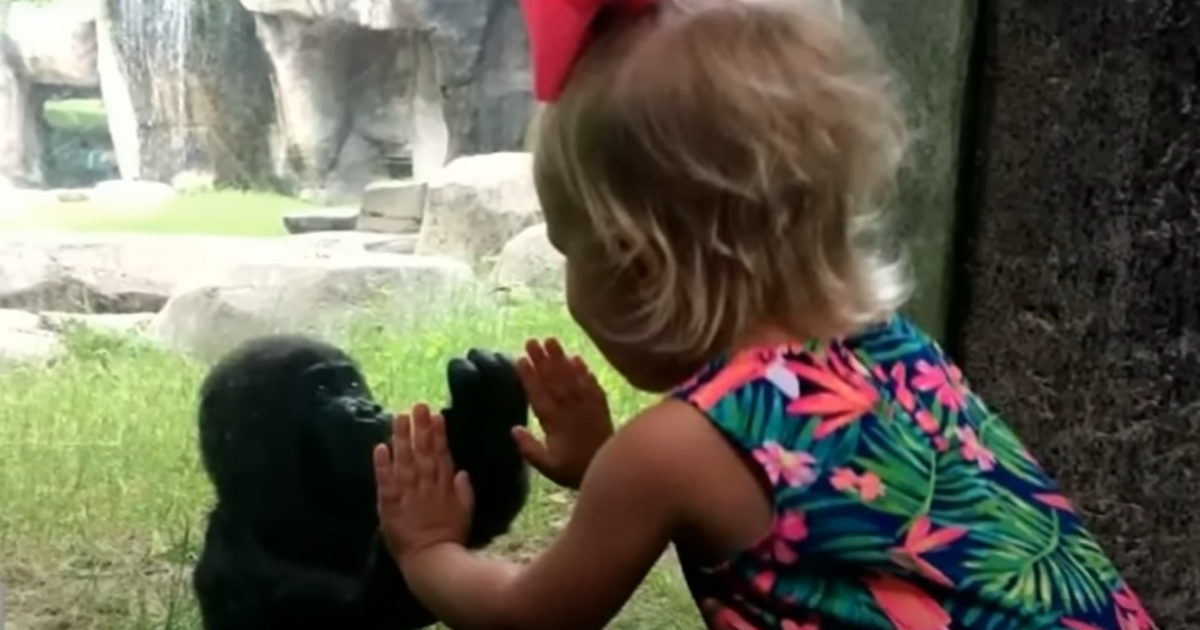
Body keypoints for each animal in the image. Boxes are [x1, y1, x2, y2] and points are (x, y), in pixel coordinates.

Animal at [193, 333, 530, 628]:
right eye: (321, 390)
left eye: (353, 384)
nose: (369, 409)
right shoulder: (234, 560)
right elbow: (374, 606)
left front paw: (487, 419)